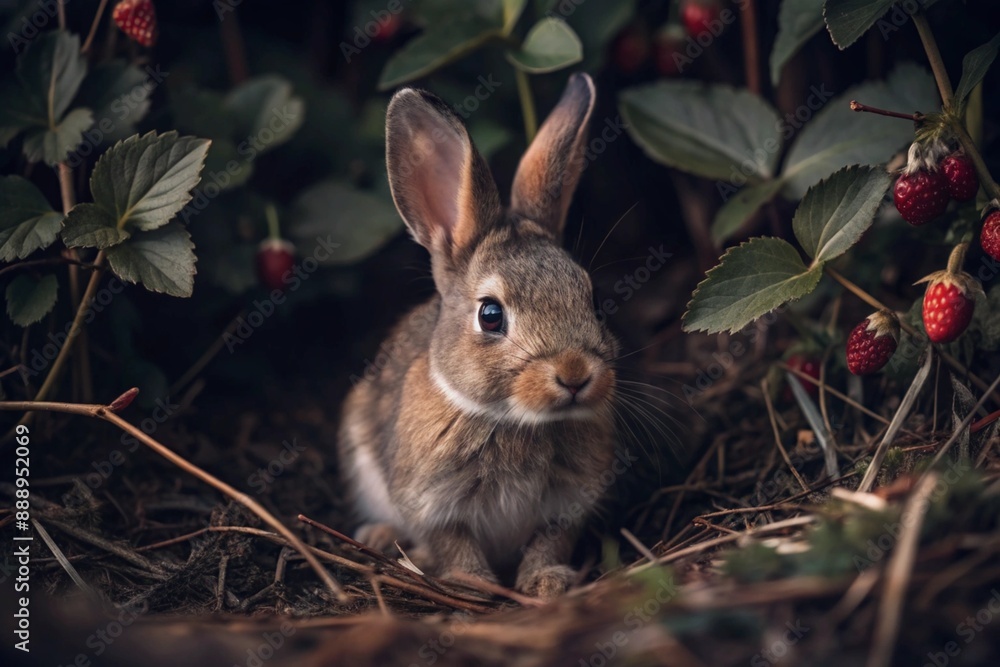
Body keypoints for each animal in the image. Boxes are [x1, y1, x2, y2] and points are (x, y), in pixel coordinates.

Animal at [338, 72, 619, 599]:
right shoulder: (432, 502)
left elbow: (551, 540)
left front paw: (545, 581)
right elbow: (454, 543)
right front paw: (472, 583)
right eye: (490, 315)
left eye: (593, 299)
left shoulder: (568, 501)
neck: (517, 421)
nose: (574, 374)